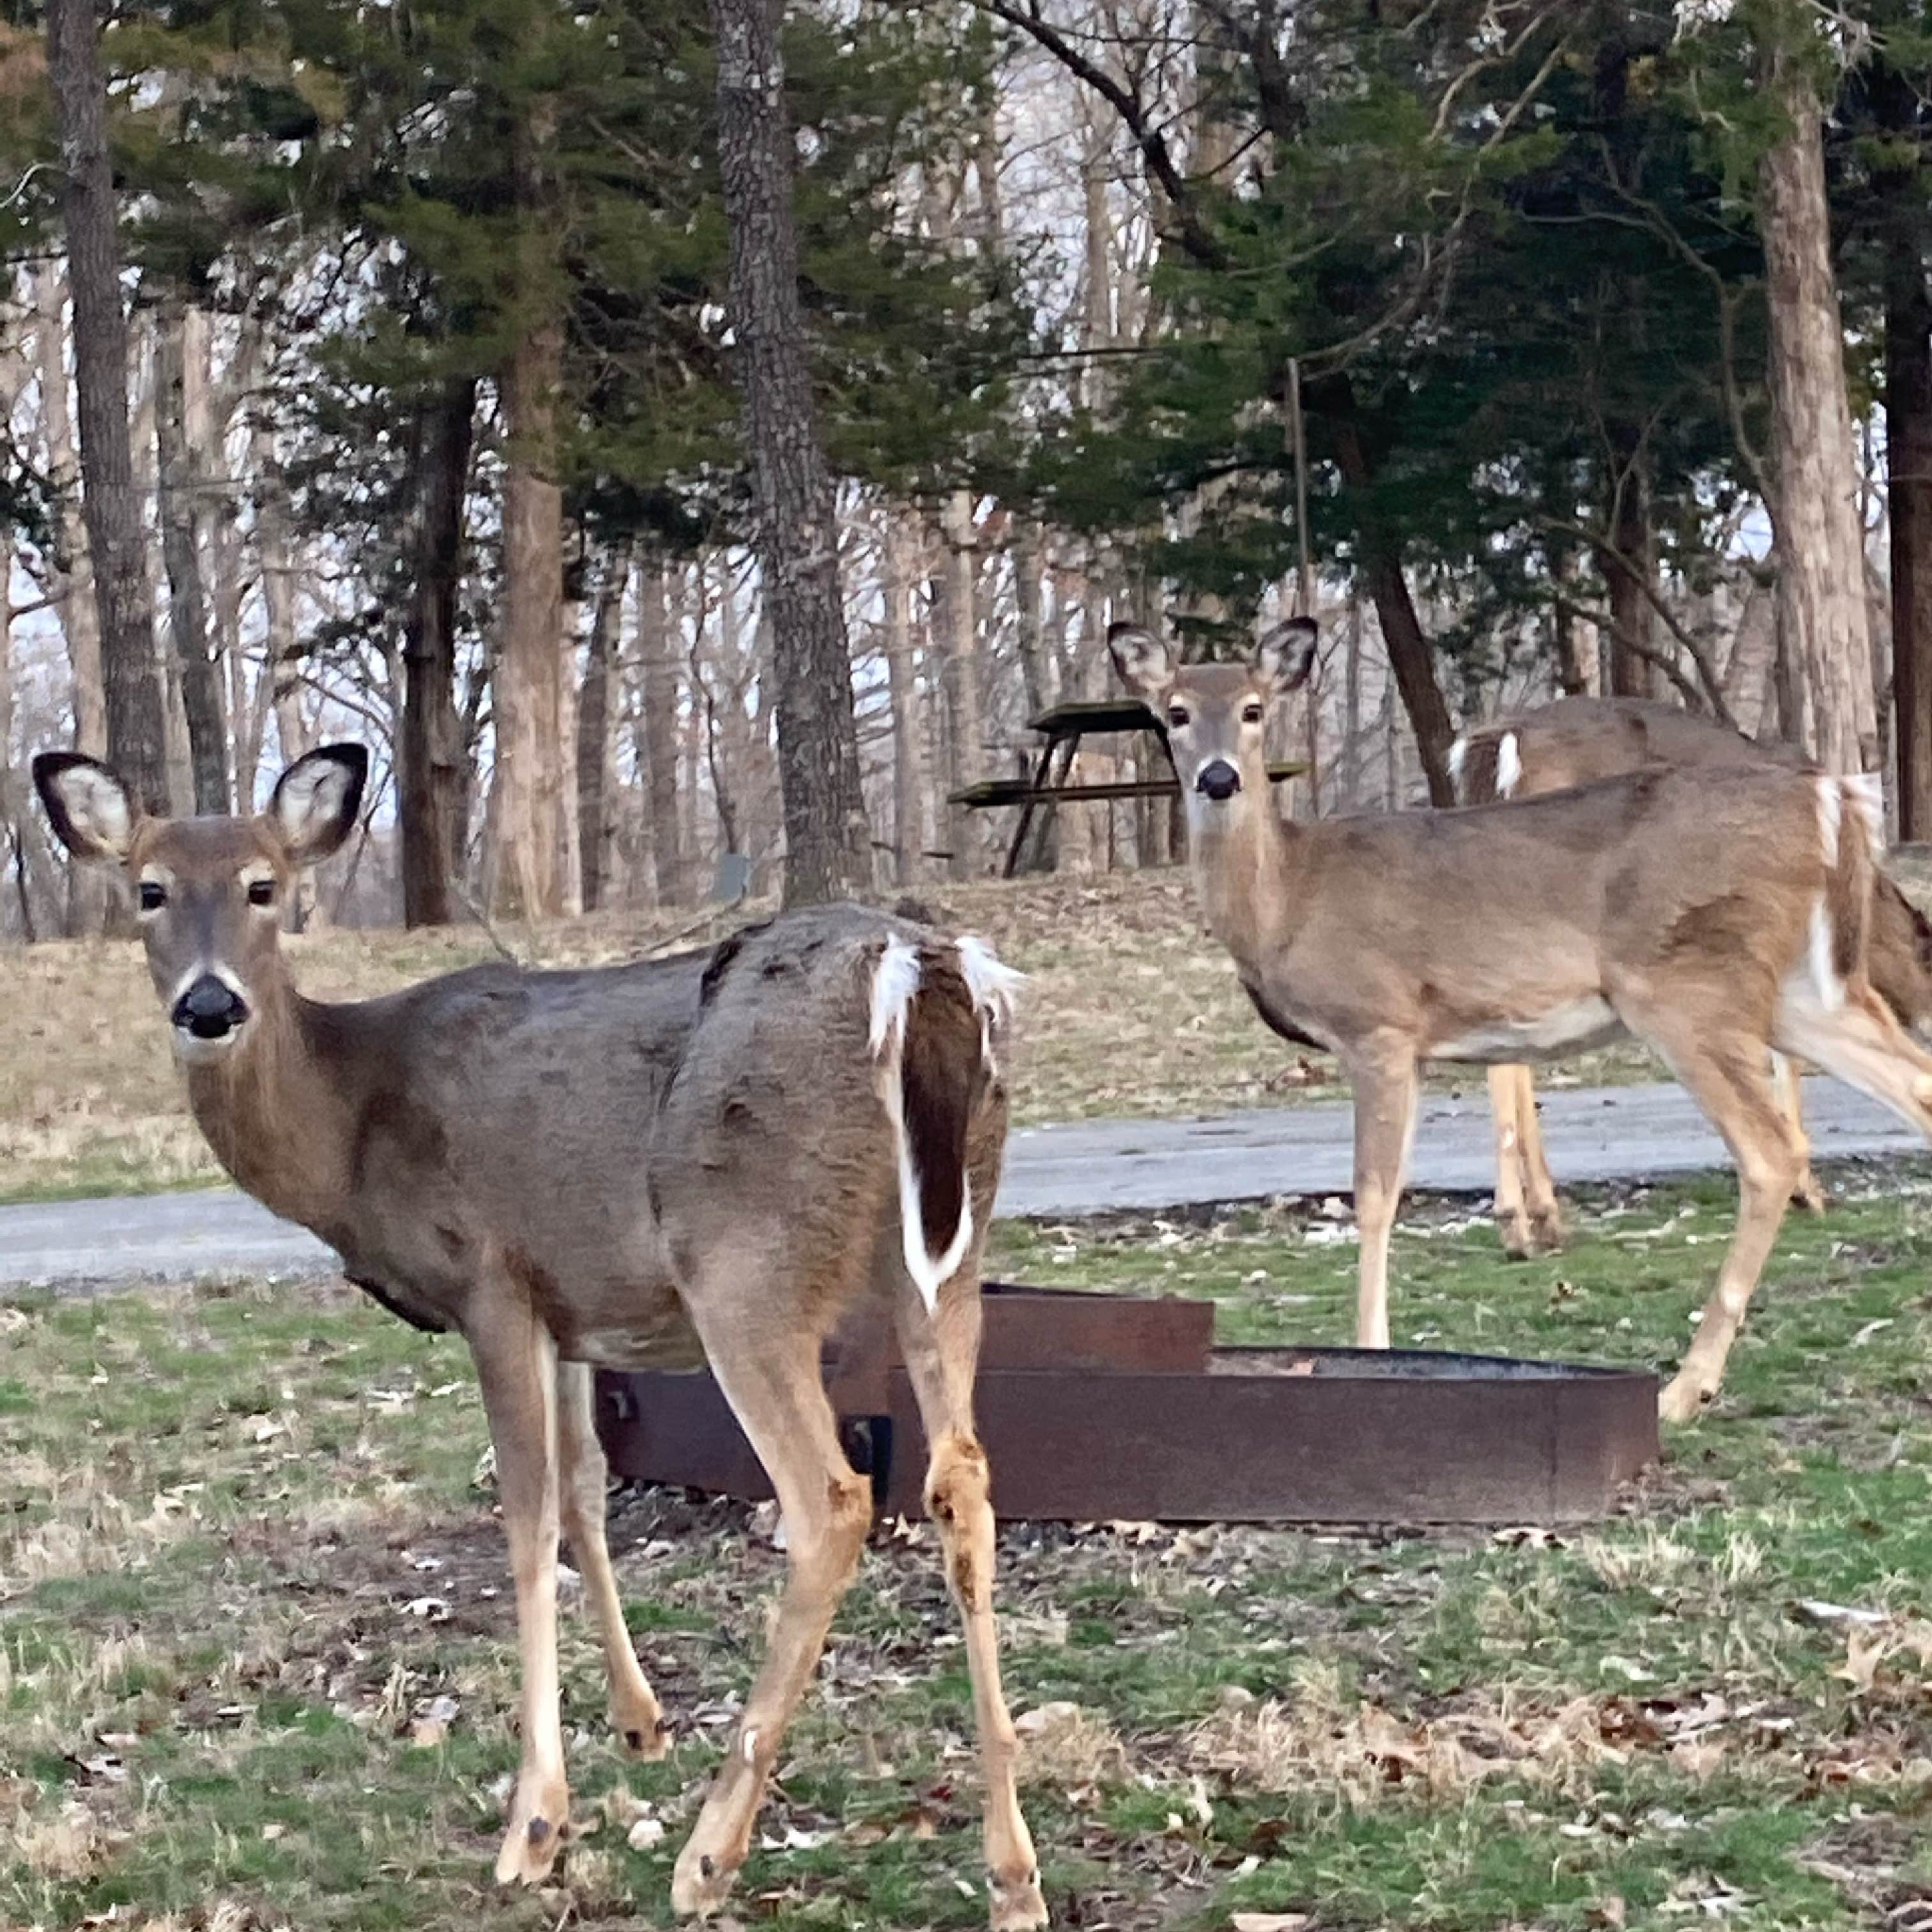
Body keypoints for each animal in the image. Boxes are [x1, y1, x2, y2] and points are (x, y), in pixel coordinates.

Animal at [30, 742, 1051, 1932]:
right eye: (149, 890)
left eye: (262, 886)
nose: (207, 1004)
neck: (348, 1121)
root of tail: (919, 966)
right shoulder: (572, 1308)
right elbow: (584, 1491)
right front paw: (640, 1722)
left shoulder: (491, 1278)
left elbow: (523, 1524)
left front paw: (536, 1822)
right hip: (946, 1246)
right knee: (961, 1480)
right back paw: (1012, 1868)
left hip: (745, 1258)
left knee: (832, 1500)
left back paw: (709, 1855)